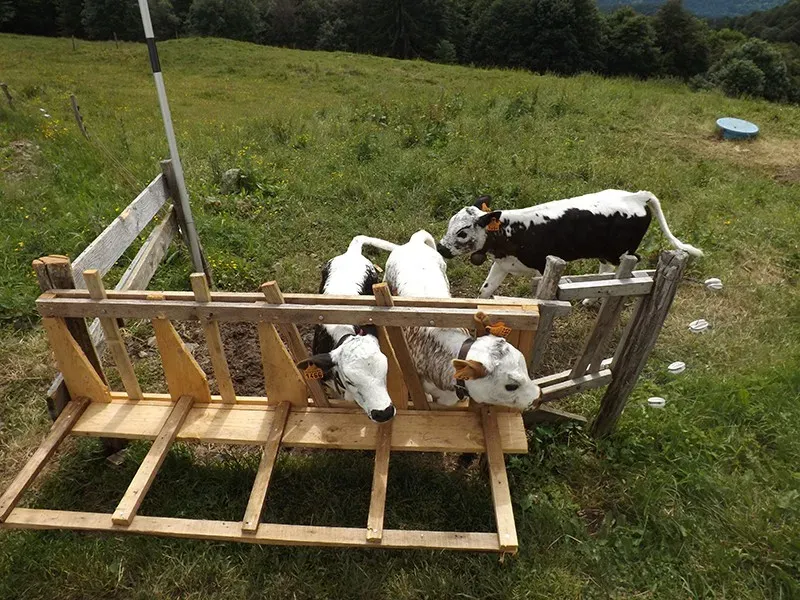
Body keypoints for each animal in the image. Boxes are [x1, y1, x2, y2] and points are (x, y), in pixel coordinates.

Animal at [436, 189, 703, 299]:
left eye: (462, 233)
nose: (440, 248)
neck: (513, 231)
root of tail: (636, 195)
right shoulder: (502, 264)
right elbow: (485, 290)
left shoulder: (544, 269)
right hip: (605, 253)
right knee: (606, 272)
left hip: (623, 252)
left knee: (626, 270)